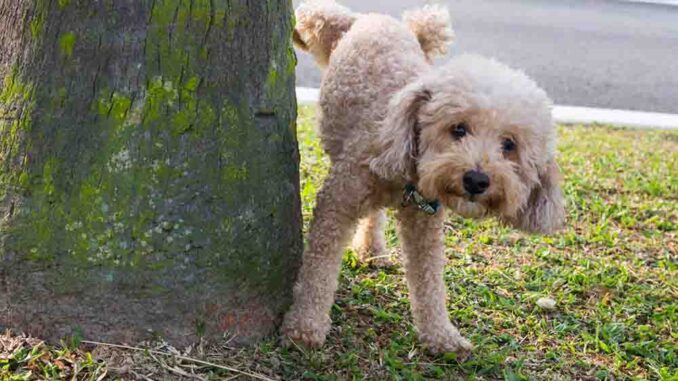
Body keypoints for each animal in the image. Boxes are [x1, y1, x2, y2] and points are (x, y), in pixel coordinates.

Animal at [282, 0, 568, 354]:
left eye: (509, 145)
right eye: (458, 129)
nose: (476, 180)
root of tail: (375, 19)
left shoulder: (424, 223)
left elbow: (429, 280)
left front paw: (441, 335)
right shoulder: (338, 201)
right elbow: (319, 267)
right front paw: (305, 325)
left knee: (374, 216)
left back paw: (372, 249)